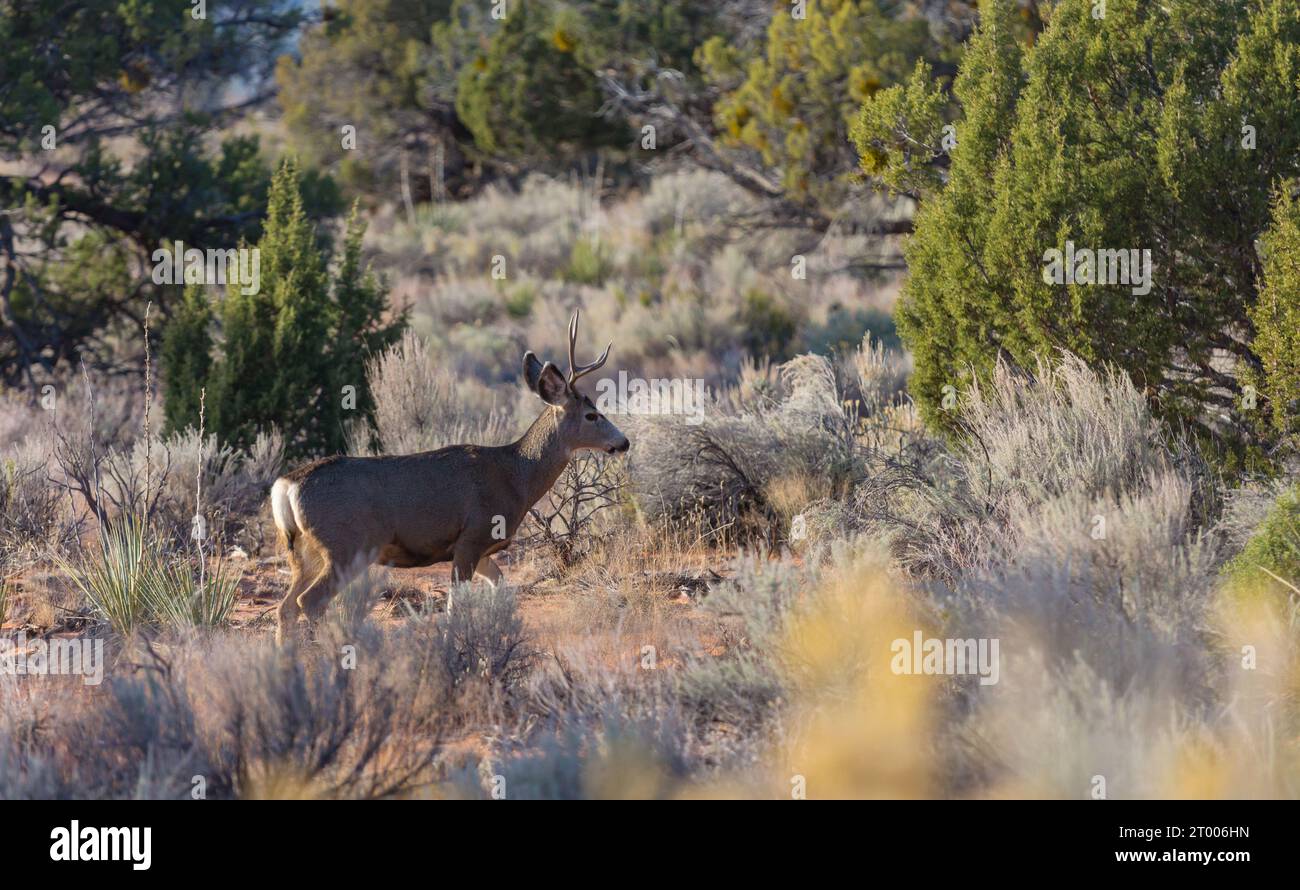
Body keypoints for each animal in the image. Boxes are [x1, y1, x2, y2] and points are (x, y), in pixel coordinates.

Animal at [269, 310, 629, 644]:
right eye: (592, 415)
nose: (623, 442)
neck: (516, 476)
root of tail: (286, 486)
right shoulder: (473, 535)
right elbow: (456, 606)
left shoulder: (481, 549)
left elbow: (500, 589)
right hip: (345, 545)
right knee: (309, 601)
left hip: (305, 552)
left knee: (285, 607)